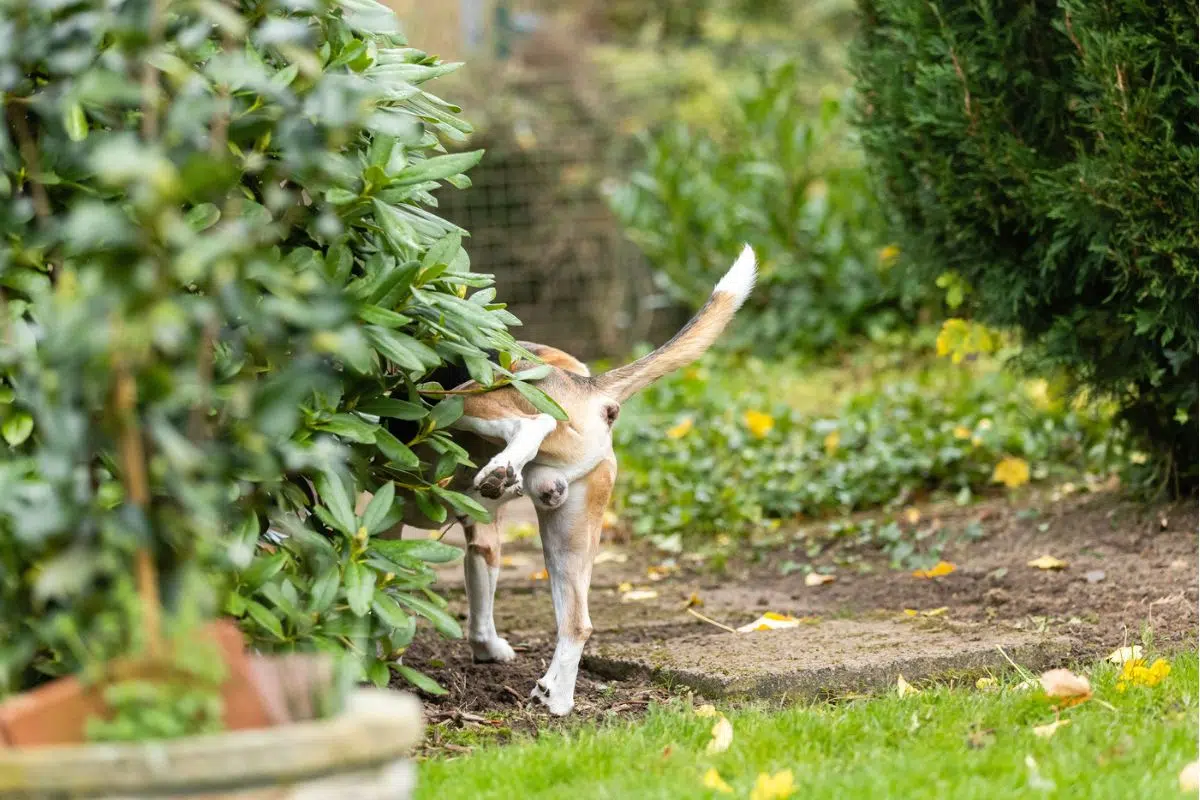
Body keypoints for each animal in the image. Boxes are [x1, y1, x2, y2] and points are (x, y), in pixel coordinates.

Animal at [360, 242, 753, 714]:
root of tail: (589, 388)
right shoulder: (485, 535)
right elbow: (480, 602)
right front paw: (487, 650)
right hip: (570, 530)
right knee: (578, 623)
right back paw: (558, 696)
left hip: (461, 399)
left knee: (534, 421)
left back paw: (503, 466)